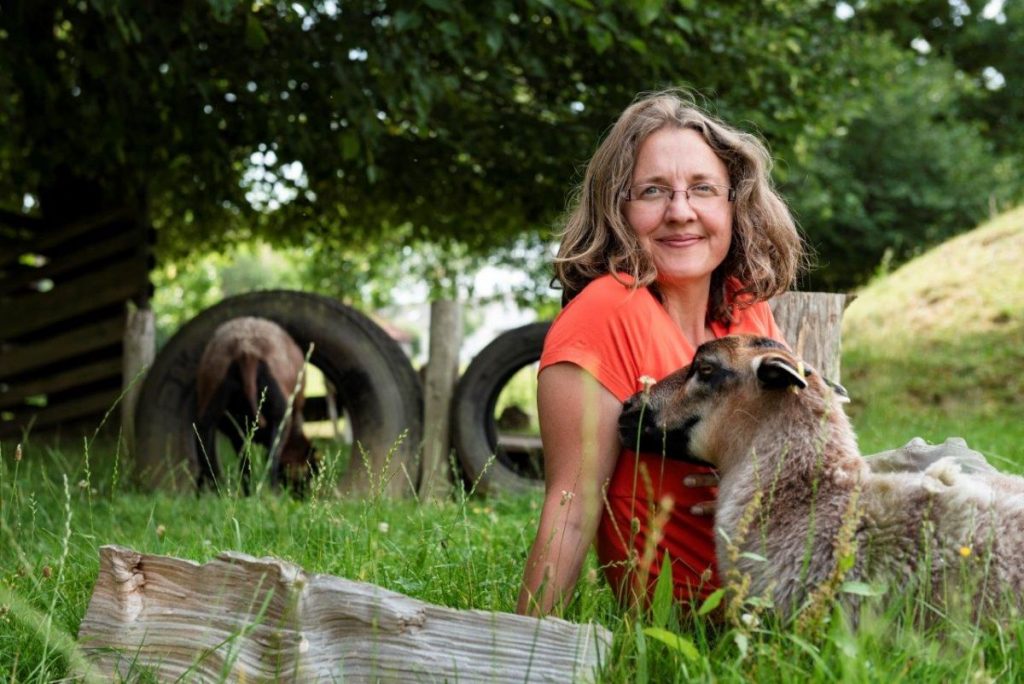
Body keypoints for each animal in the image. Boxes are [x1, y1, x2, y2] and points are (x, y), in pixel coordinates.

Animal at [194, 317, 315, 493]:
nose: (302, 494)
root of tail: (246, 350)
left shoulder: (236, 434)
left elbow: (244, 464)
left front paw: (246, 492)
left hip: (212, 398)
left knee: (206, 450)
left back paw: (214, 491)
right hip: (279, 412)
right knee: (272, 459)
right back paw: (273, 493)